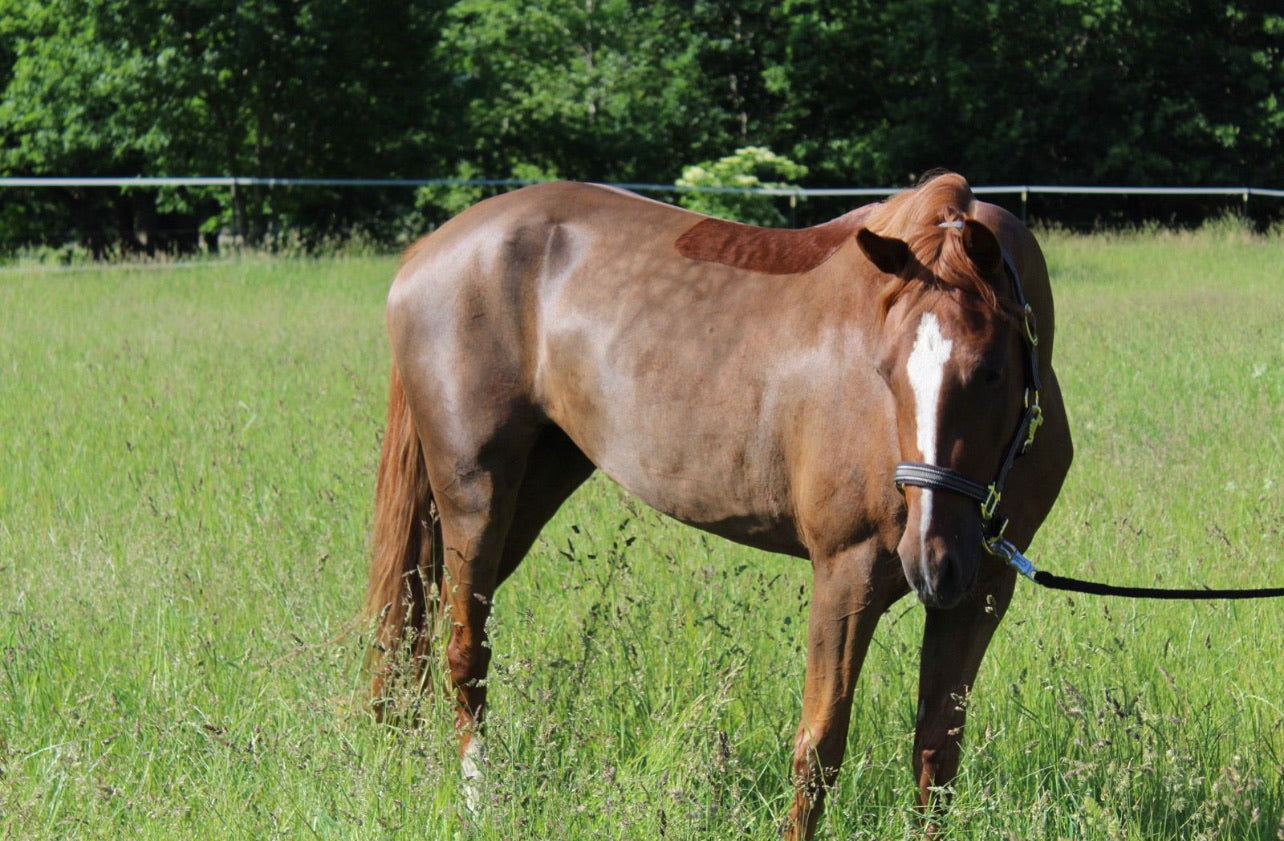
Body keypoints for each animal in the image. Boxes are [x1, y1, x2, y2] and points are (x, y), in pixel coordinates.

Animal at [364, 170, 1073, 837]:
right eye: (887, 369)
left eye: (991, 371)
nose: (932, 562)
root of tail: (432, 249)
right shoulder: (847, 575)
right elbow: (819, 748)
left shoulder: (985, 589)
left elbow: (936, 751)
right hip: (476, 495)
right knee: (464, 653)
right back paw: (479, 802)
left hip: (532, 488)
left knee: (419, 624)